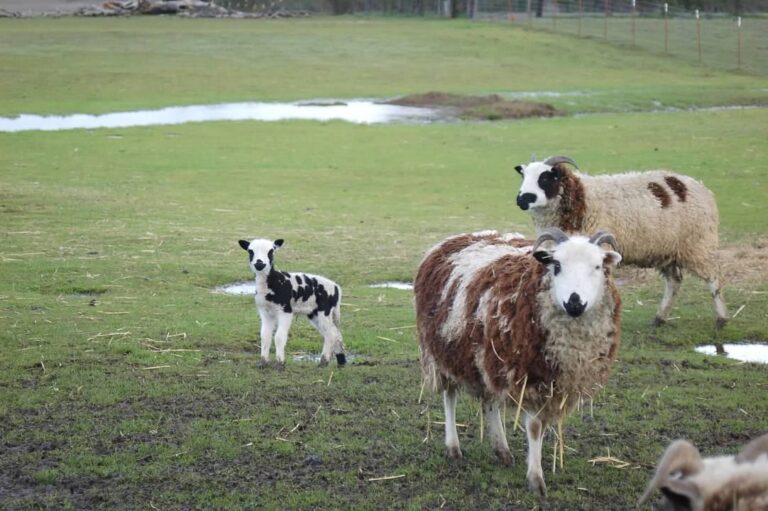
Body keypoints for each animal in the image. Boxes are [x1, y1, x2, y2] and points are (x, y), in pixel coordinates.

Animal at [237, 238, 344, 370]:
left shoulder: (285, 310)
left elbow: (279, 337)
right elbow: (265, 336)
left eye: (271, 251)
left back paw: (323, 362)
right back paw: (340, 361)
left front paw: (280, 364)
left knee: (331, 334)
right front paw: (263, 363)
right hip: (314, 313)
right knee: (334, 333)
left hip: (324, 310)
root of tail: (336, 288)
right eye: (250, 251)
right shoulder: (265, 312)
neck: (273, 282)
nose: (260, 264)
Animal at [414, 227, 624, 496]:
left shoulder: (552, 384)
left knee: (489, 403)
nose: (574, 303)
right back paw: (453, 447)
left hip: (486, 359)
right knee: (449, 397)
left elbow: (540, 428)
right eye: (556, 266)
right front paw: (536, 479)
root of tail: (452, 239)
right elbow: (533, 428)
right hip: (443, 352)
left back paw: (501, 450)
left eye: (598, 266)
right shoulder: (530, 378)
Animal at [516, 156, 728, 330]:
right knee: (674, 282)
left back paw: (721, 319)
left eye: (545, 177)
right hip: (667, 251)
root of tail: (700, 187)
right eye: (524, 176)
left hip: (699, 245)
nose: (522, 199)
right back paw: (659, 318)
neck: (580, 198)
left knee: (713, 279)